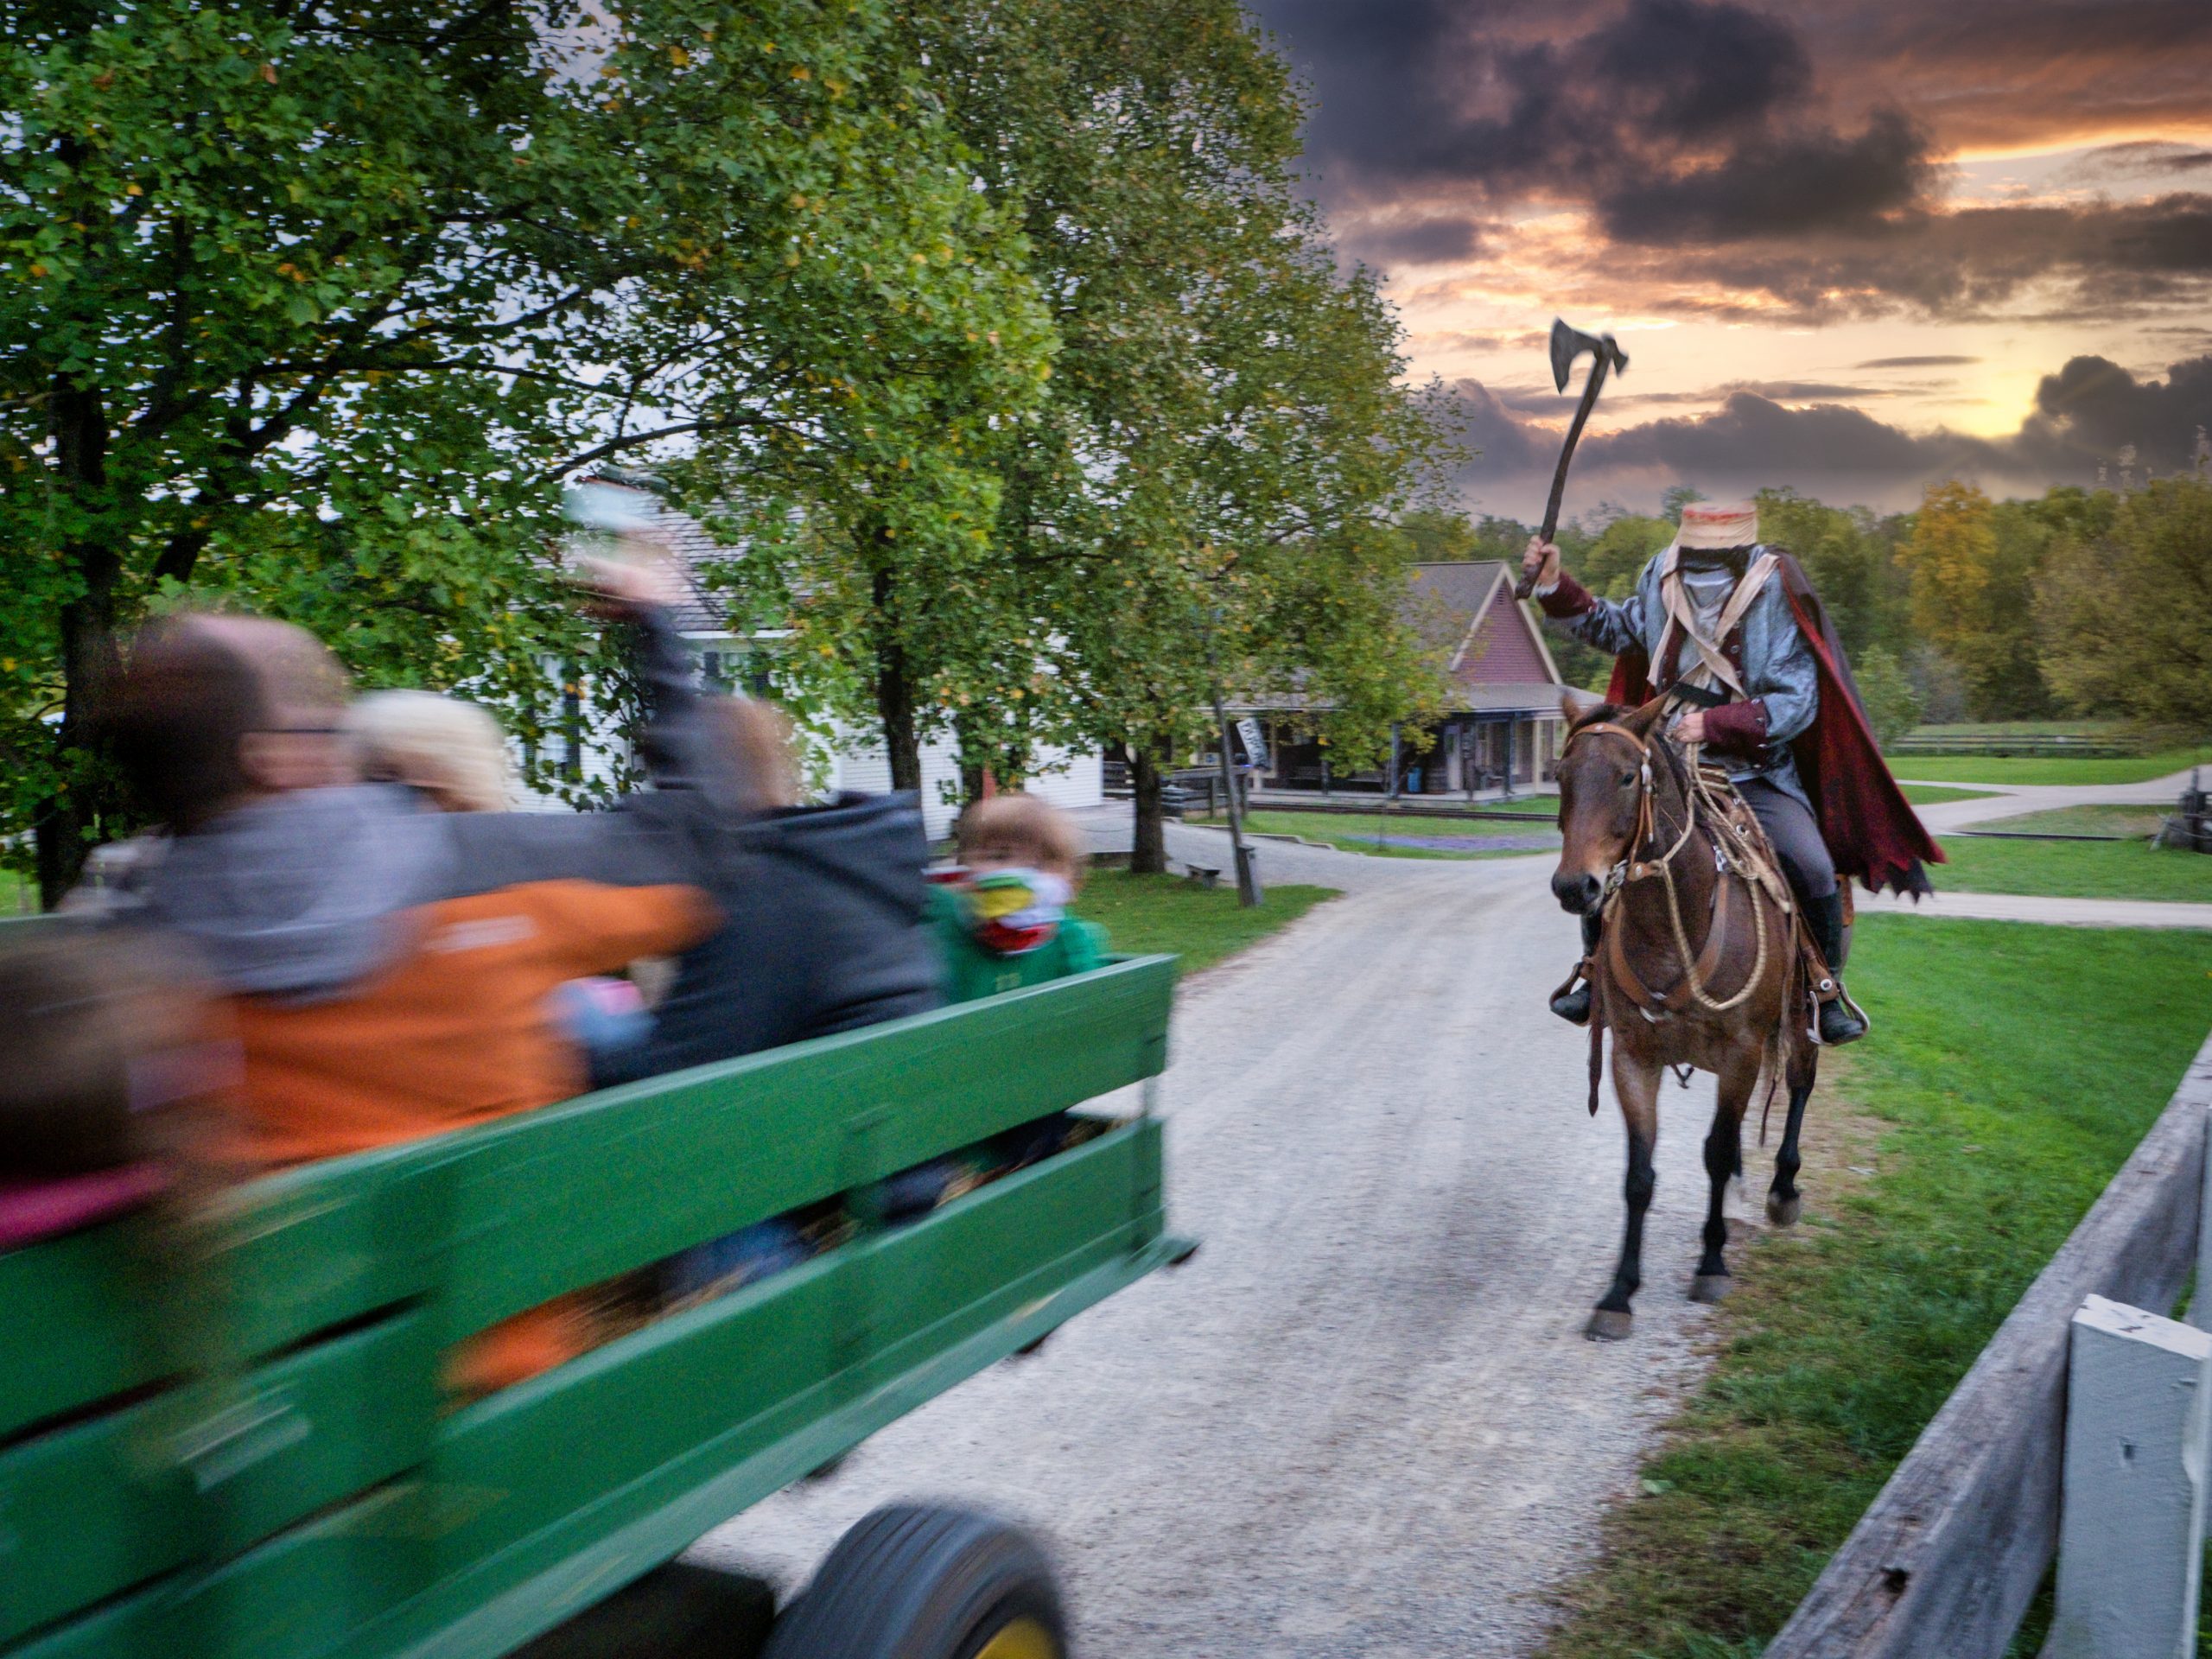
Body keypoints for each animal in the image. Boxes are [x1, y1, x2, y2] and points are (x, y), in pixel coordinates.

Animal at [1557, 694, 1814, 1344]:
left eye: (1627, 776)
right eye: (1561, 775)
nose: (1575, 887)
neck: (1676, 929)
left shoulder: (1742, 1052)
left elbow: (1715, 1155)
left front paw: (1712, 1262)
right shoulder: (1632, 1058)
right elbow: (1640, 1176)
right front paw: (1619, 1294)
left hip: (1800, 1020)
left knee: (1800, 1084)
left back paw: (1782, 1189)